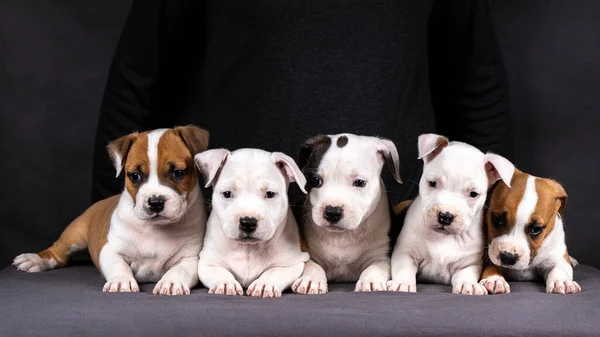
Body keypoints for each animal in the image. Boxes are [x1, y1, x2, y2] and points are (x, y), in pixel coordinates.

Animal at [12, 126, 210, 294]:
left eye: (178, 173)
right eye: (135, 176)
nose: (155, 202)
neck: (157, 229)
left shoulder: (191, 258)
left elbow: (180, 270)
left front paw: (171, 282)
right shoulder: (110, 250)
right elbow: (118, 265)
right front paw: (121, 281)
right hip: (75, 234)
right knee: (58, 253)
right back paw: (35, 259)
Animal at [195, 147, 310, 296]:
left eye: (270, 194)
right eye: (227, 193)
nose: (248, 222)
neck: (248, 249)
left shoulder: (291, 264)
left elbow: (274, 271)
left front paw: (265, 284)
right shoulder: (207, 263)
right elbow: (219, 271)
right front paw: (225, 283)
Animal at [292, 133, 400, 292]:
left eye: (360, 182)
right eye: (316, 180)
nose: (332, 211)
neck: (342, 237)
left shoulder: (381, 255)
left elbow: (375, 267)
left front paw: (370, 281)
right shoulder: (307, 252)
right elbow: (312, 265)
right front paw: (311, 279)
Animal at [390, 134, 516, 294]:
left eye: (473, 194)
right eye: (432, 183)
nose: (445, 216)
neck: (443, 237)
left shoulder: (467, 264)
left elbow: (466, 274)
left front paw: (468, 285)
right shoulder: (405, 253)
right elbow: (403, 268)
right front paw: (402, 283)